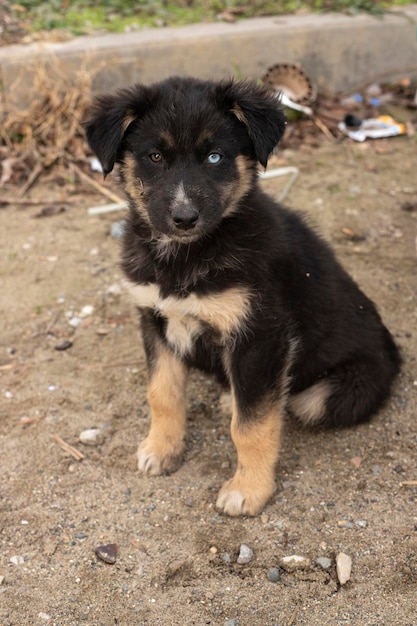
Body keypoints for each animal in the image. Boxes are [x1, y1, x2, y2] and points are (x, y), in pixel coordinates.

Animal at [84, 77, 400, 516]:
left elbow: (252, 425)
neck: (187, 255)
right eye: (155, 156)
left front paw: (249, 489)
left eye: (215, 156)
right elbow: (162, 393)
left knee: (287, 402)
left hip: (334, 392)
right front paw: (162, 449)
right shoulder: (155, 318)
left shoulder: (260, 335)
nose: (184, 218)